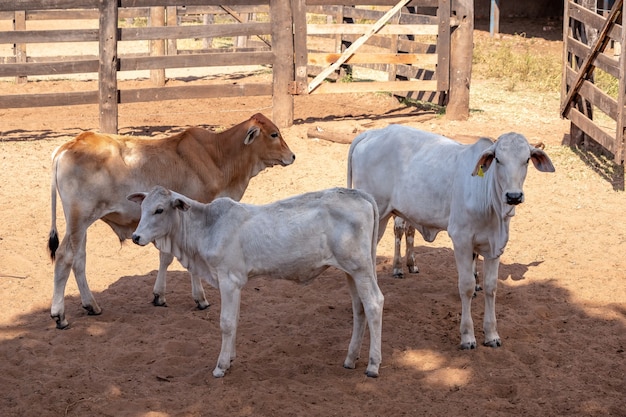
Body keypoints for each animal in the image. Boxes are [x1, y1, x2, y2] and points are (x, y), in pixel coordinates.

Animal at [47, 113, 294, 328]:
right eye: (274, 134)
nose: (292, 156)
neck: (217, 156)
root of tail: (67, 146)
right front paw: (200, 299)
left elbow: (165, 257)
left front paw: (159, 295)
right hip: (79, 219)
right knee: (64, 257)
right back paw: (60, 315)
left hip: (80, 225)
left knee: (79, 259)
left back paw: (91, 305)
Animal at [127, 185, 382, 376]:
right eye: (142, 207)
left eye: (159, 210)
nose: (135, 236)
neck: (208, 226)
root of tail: (358, 194)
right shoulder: (236, 283)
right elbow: (236, 320)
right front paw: (230, 358)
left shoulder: (229, 280)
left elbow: (226, 322)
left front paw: (220, 366)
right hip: (351, 271)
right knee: (359, 308)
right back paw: (350, 358)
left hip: (361, 268)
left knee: (374, 304)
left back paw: (373, 365)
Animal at [344, 126, 552, 348]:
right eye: (498, 159)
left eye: (527, 159)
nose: (513, 196)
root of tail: (372, 133)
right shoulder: (461, 240)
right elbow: (466, 286)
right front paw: (467, 336)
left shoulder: (494, 246)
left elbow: (491, 287)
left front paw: (492, 335)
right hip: (378, 214)